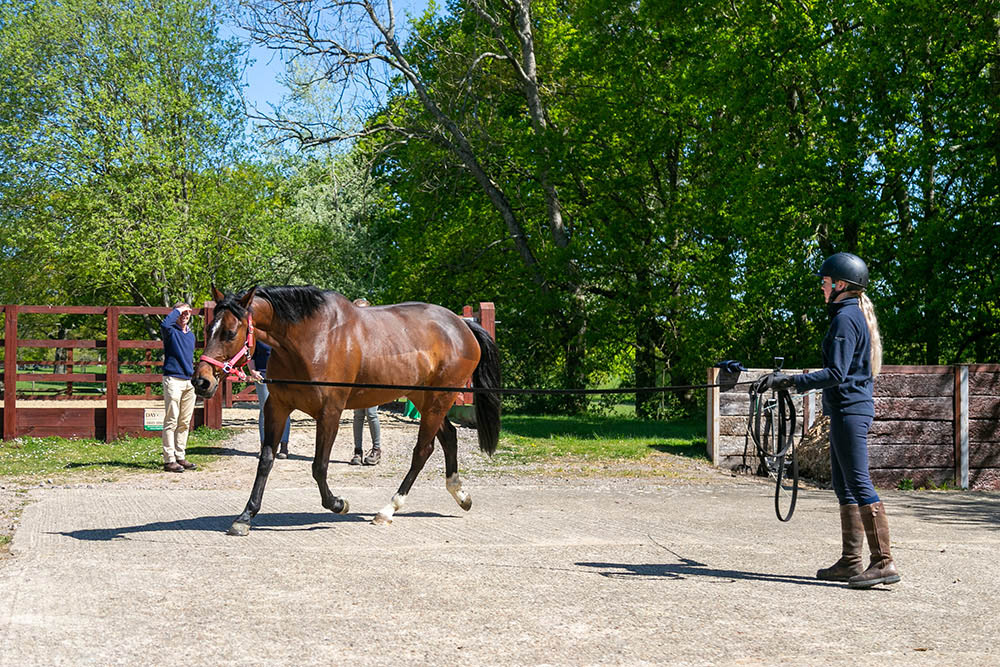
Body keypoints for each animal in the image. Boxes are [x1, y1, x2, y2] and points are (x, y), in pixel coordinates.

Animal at [190, 288, 500, 536]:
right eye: (209, 329)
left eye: (230, 333)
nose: (201, 381)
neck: (309, 339)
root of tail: (462, 325)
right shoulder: (277, 407)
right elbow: (265, 460)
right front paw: (245, 517)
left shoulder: (330, 413)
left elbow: (319, 466)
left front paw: (338, 504)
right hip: (425, 399)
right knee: (449, 437)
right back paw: (460, 494)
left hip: (437, 400)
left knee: (422, 451)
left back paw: (388, 509)